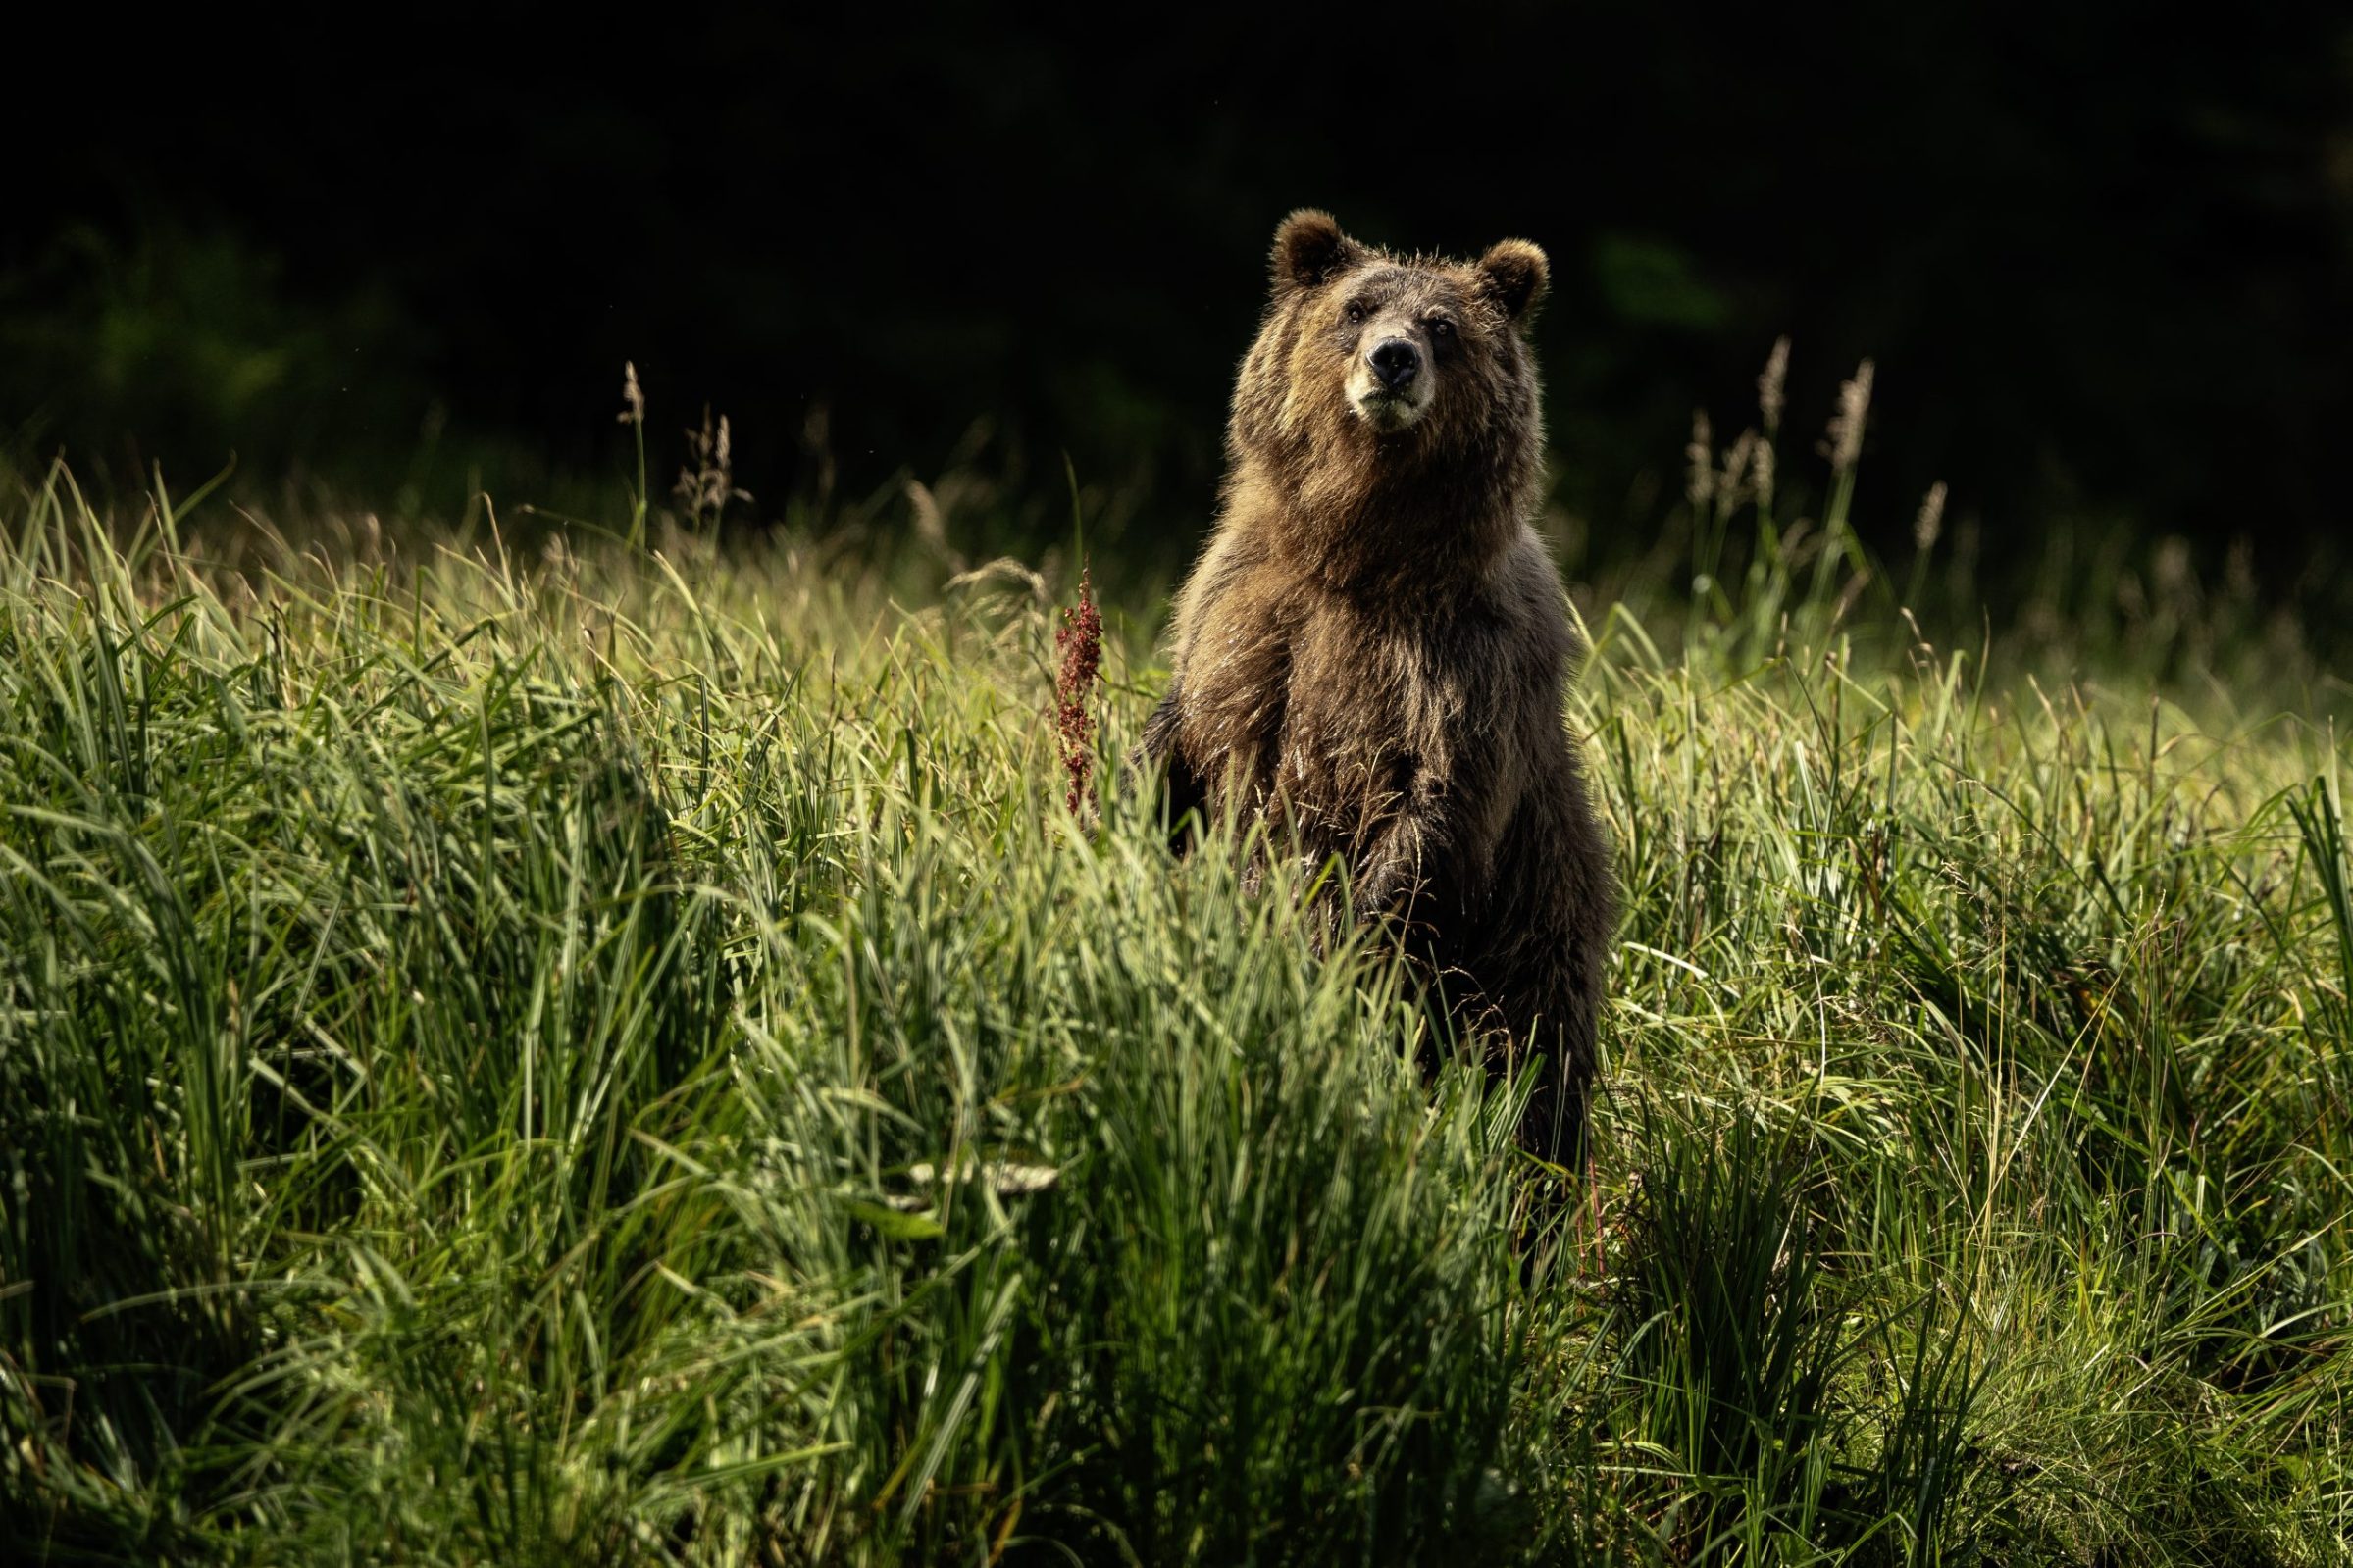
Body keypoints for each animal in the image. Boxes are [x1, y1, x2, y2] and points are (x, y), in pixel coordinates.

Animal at [1139, 209, 1616, 1165]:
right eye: (1356, 307)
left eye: (1443, 325)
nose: (1393, 358)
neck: (1361, 549)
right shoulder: (1246, 612)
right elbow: (1196, 725)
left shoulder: (1468, 659)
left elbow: (1436, 807)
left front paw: (1333, 943)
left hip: (1528, 922)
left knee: (1528, 1071)